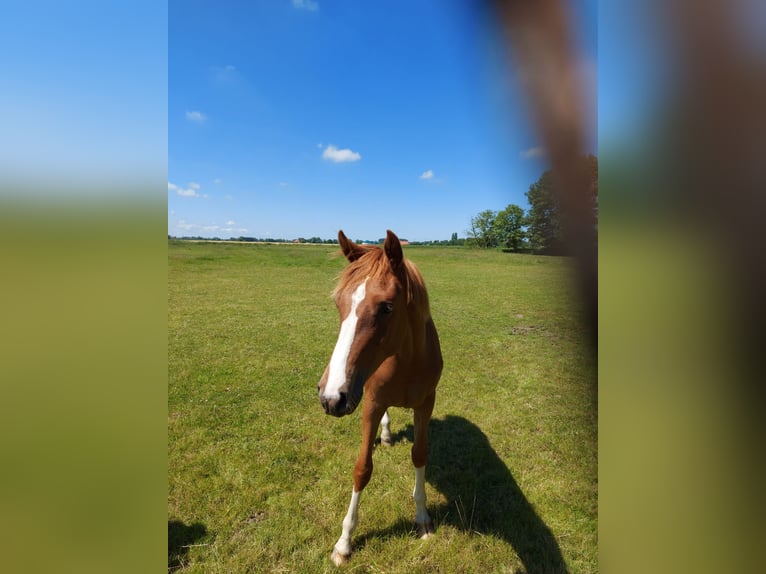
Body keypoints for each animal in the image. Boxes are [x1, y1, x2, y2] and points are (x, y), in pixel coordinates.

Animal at [316, 230, 444, 568]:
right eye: (338, 302)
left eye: (387, 307)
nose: (330, 397)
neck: (406, 361)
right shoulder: (370, 405)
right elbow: (362, 469)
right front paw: (344, 543)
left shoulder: (426, 404)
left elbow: (420, 455)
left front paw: (422, 518)